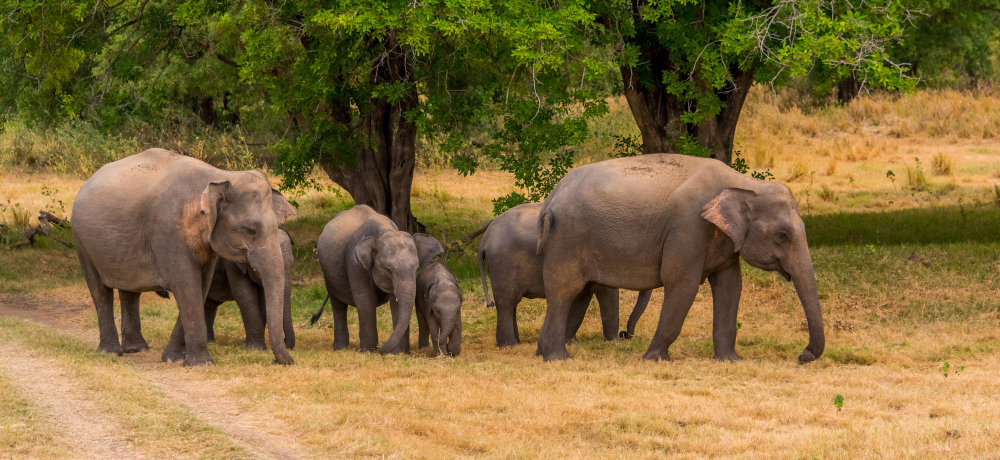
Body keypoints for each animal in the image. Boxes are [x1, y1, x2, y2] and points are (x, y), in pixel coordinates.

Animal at [73, 149, 296, 364]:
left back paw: (136, 349)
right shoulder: (168, 231)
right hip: (81, 241)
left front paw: (173, 358)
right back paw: (110, 352)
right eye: (250, 230)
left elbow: (200, 285)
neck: (219, 175)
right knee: (100, 290)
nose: (282, 361)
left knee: (130, 291)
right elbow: (186, 284)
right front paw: (200, 363)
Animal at [316, 207, 442, 354]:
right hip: (328, 273)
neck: (385, 232)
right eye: (388, 270)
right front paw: (368, 351)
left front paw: (400, 353)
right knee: (338, 305)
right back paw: (340, 349)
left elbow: (396, 304)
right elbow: (365, 300)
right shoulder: (354, 264)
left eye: (416, 268)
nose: (381, 350)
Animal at [478, 203, 656, 346]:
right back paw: (510, 345)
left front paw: (570, 341)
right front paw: (614, 342)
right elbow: (607, 294)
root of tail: (484, 240)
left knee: (510, 304)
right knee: (507, 302)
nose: (625, 334)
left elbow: (581, 300)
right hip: (503, 264)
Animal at [536, 155, 824, 362]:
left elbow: (730, 287)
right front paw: (656, 359)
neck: (745, 183)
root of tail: (550, 198)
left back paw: (543, 353)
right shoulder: (688, 227)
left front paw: (731, 360)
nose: (803, 355)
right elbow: (682, 284)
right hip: (567, 238)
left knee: (570, 293)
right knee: (564, 292)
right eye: (782, 236)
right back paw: (558, 358)